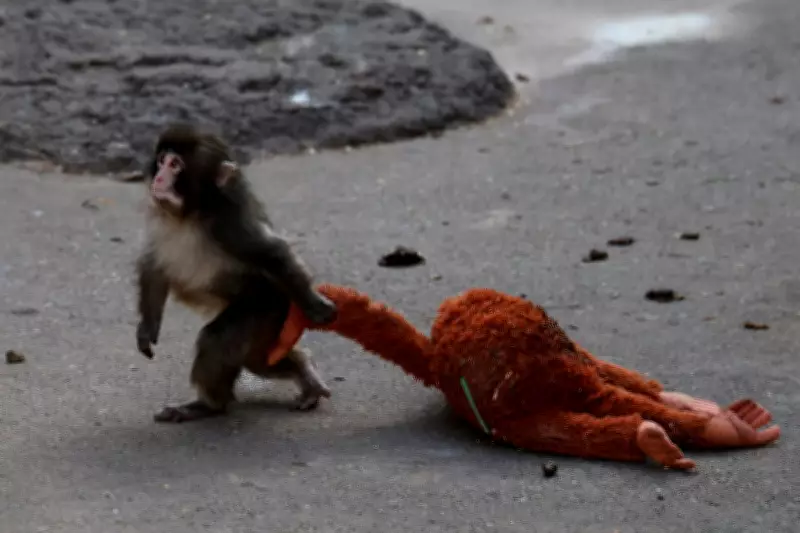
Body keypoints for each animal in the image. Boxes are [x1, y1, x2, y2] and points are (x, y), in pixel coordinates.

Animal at [135, 123, 336, 422]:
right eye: (161, 161)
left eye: (175, 165)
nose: (159, 178)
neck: (190, 214)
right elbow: (154, 266)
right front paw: (147, 328)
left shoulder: (228, 224)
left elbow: (273, 253)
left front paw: (314, 305)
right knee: (260, 361)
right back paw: (304, 369)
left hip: (267, 306)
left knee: (219, 341)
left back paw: (209, 405)